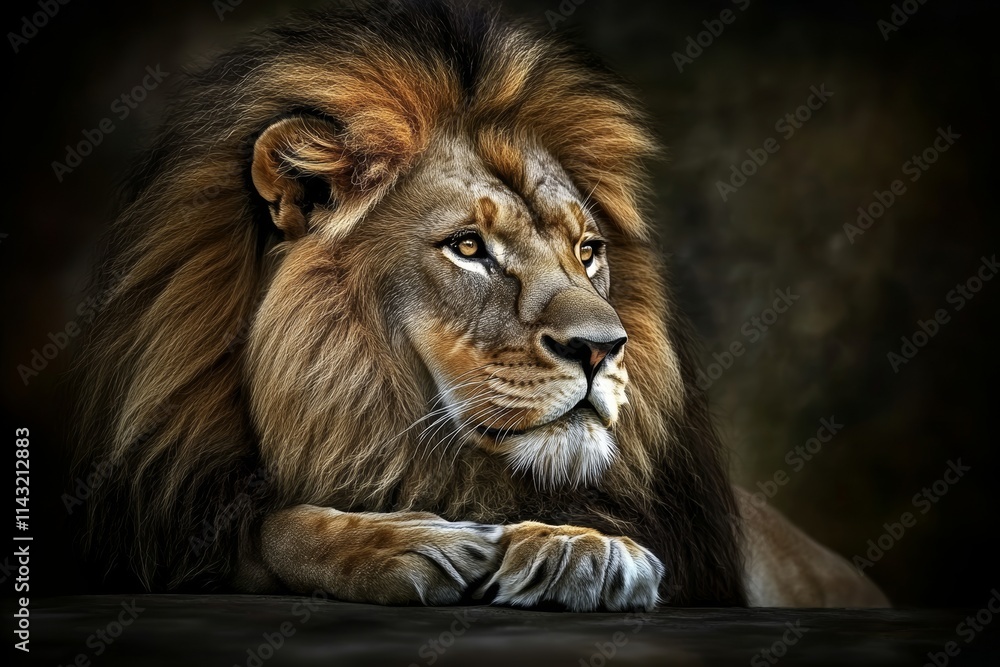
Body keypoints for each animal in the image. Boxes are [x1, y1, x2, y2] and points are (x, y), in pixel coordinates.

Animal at [71, 0, 887, 610]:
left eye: (587, 250)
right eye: (468, 247)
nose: (603, 348)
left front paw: (579, 548)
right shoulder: (177, 526)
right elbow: (277, 529)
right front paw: (406, 539)